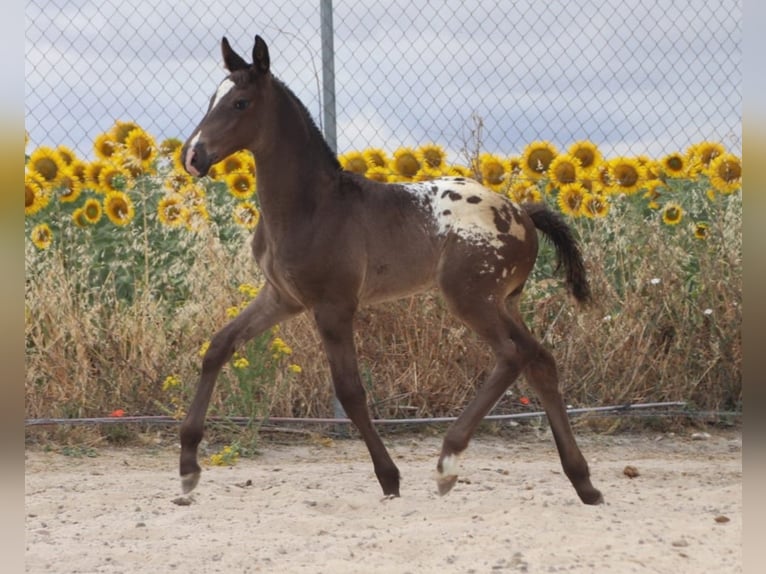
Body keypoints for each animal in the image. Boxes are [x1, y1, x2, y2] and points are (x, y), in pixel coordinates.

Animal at [179, 35, 603, 505]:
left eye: (241, 103)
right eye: (212, 99)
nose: (192, 156)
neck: (312, 206)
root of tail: (524, 213)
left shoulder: (333, 305)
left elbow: (350, 390)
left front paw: (389, 476)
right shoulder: (282, 298)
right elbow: (218, 347)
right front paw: (188, 467)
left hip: (470, 298)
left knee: (511, 357)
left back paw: (448, 462)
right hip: (502, 302)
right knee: (539, 361)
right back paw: (584, 482)